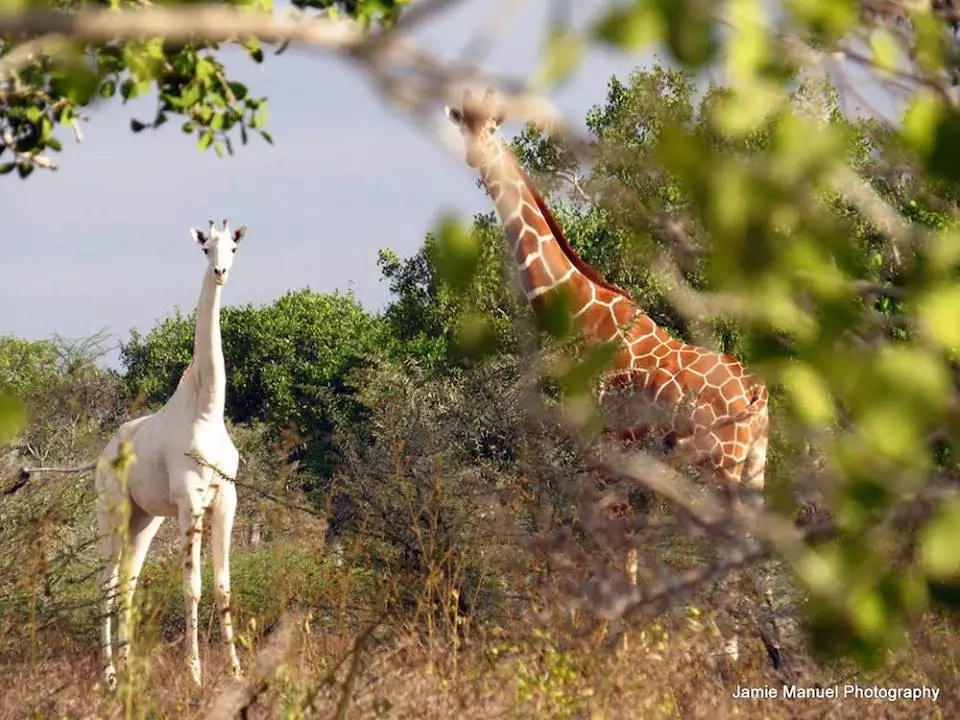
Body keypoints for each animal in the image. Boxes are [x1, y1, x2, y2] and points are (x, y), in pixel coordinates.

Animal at [94, 218, 248, 688]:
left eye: (233, 248)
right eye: (205, 249)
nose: (220, 272)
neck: (207, 411)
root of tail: (102, 455)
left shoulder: (226, 499)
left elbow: (224, 585)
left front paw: (236, 670)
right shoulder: (189, 502)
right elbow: (192, 587)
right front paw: (195, 673)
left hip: (145, 519)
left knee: (127, 581)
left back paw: (128, 670)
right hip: (112, 511)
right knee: (106, 583)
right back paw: (109, 674)